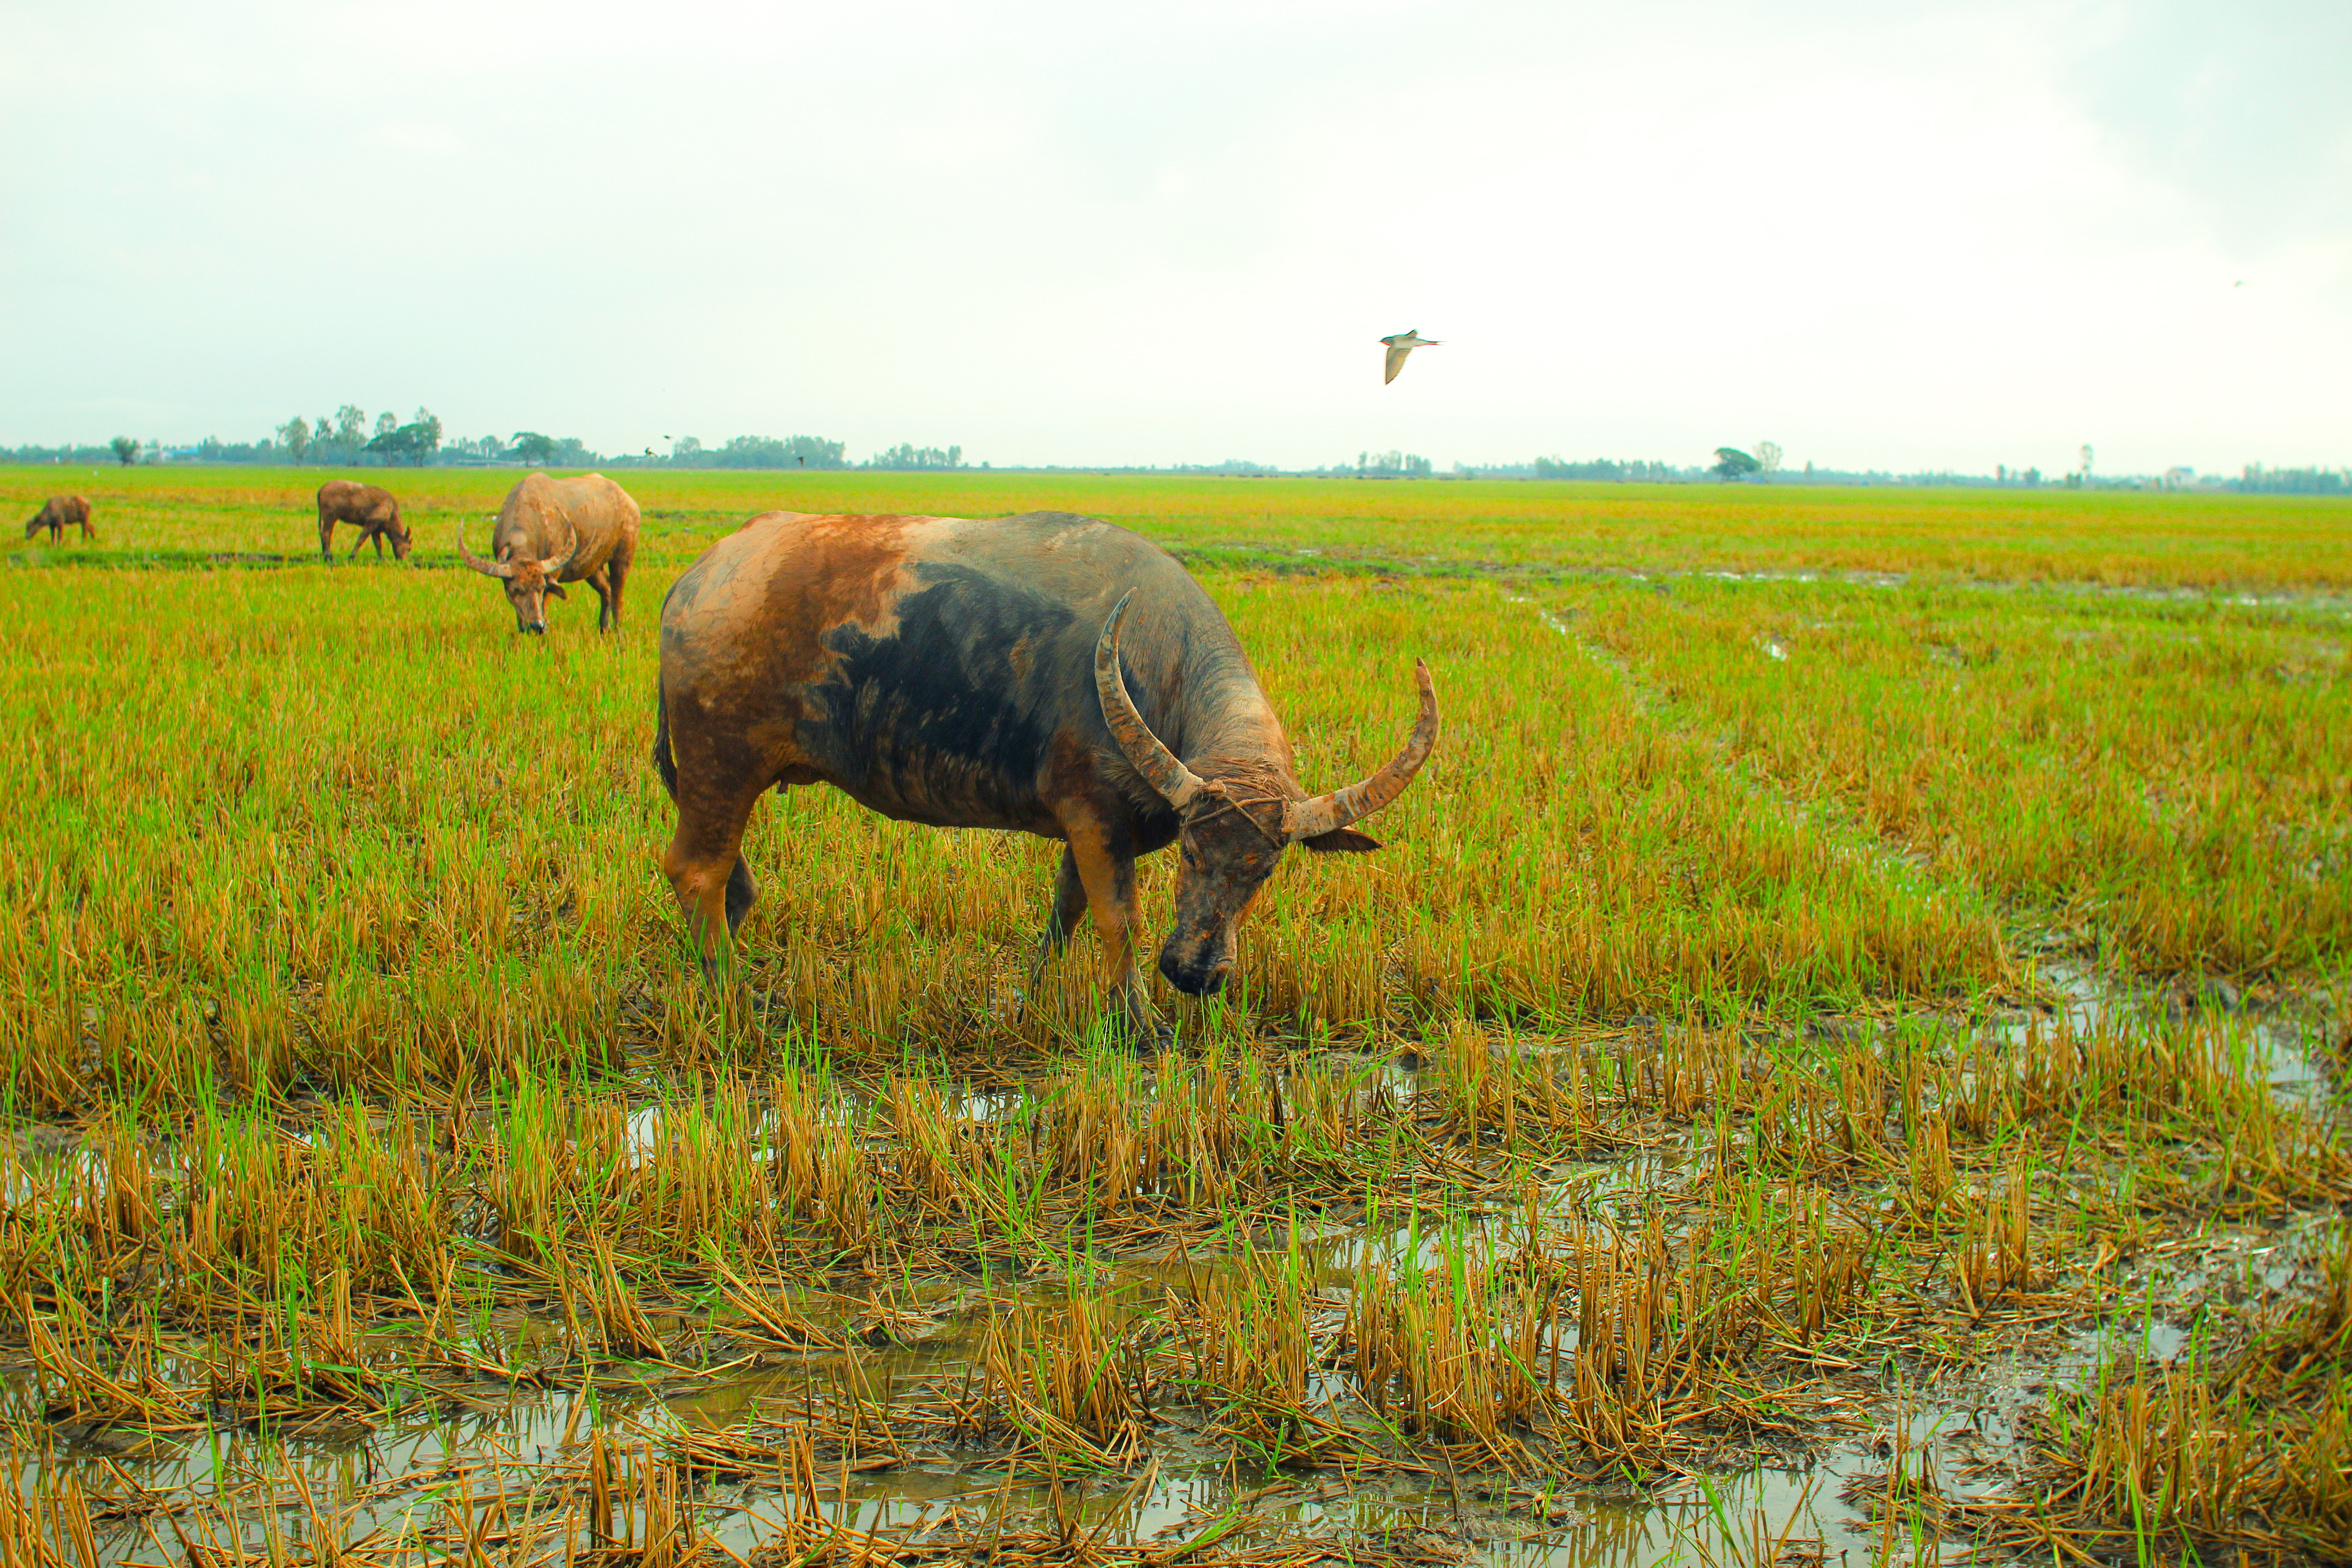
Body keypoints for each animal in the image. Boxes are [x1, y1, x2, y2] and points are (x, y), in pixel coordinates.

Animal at [21, 496, 94, 545]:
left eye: (30, 527)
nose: (26, 536)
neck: (49, 514)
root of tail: (89, 503)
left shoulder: (60, 523)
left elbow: (60, 536)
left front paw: (59, 545)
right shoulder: (52, 526)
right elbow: (53, 536)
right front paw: (53, 545)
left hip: (84, 520)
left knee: (85, 531)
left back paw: (83, 542)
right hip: (84, 520)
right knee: (92, 527)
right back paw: (93, 538)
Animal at [313, 484, 409, 571]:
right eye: (409, 548)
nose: (404, 561)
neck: (391, 512)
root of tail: (322, 488)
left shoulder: (376, 531)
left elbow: (378, 545)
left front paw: (381, 559)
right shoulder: (371, 524)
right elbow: (361, 540)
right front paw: (352, 557)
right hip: (330, 517)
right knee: (326, 534)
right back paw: (328, 556)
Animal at [454, 470, 640, 634]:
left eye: (542, 588)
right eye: (516, 590)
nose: (537, 626)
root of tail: (629, 502)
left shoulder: (553, 575)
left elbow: (546, 603)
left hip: (623, 557)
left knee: (617, 596)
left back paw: (617, 630)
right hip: (592, 566)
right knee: (606, 589)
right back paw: (604, 628)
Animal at [654, 510, 1439, 1034]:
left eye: (1268, 869)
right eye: (1190, 850)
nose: (1194, 973)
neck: (1154, 670)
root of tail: (699, 578)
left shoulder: (1088, 830)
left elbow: (1067, 911)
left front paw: (1033, 995)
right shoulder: (1095, 818)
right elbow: (1118, 918)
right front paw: (1140, 1023)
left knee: (728, 884)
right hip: (721, 768)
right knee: (697, 873)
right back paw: (736, 998)